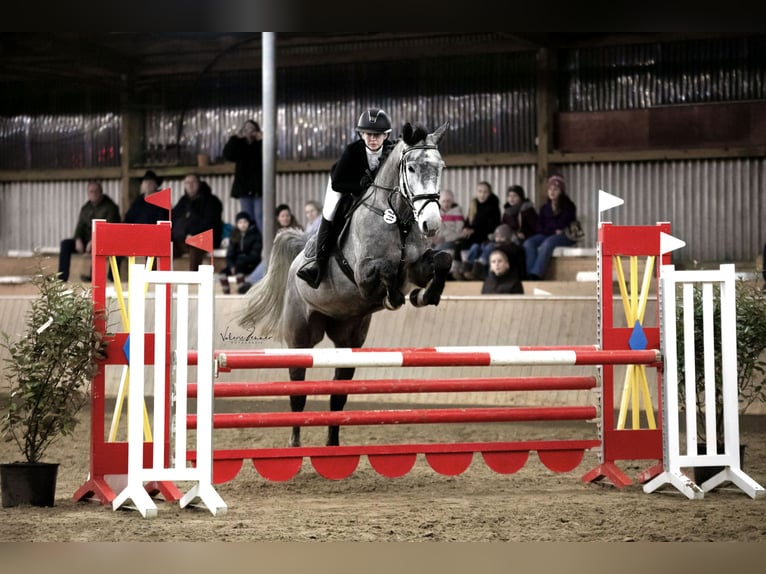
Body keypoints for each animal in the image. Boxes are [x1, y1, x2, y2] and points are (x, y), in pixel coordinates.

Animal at [239, 121, 452, 447]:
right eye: (412, 168)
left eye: (440, 167)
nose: (431, 224)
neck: (399, 219)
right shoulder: (364, 275)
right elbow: (386, 273)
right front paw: (395, 298)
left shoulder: (417, 268)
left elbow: (442, 261)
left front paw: (425, 295)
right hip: (301, 337)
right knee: (297, 392)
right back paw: (295, 444)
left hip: (349, 339)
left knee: (338, 394)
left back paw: (333, 445)